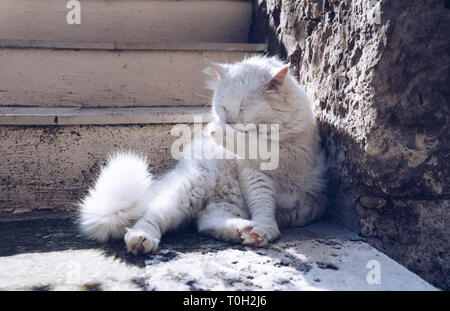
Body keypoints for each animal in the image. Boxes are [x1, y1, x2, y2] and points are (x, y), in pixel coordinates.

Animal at [77, 56, 326, 256]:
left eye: (244, 106)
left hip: (223, 203)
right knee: (152, 217)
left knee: (207, 223)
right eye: (223, 106)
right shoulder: (254, 174)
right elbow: (262, 202)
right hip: (188, 190)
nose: (229, 122)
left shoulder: (298, 155)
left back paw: (244, 231)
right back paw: (141, 240)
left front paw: (263, 231)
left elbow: (262, 150)